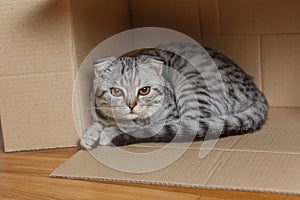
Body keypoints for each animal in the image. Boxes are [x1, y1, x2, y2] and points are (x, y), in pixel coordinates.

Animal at [79, 43, 268, 150]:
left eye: (144, 90)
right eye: (116, 91)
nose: (131, 105)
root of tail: (256, 92)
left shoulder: (168, 115)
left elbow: (141, 125)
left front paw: (110, 132)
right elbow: (98, 123)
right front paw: (89, 135)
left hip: (192, 86)